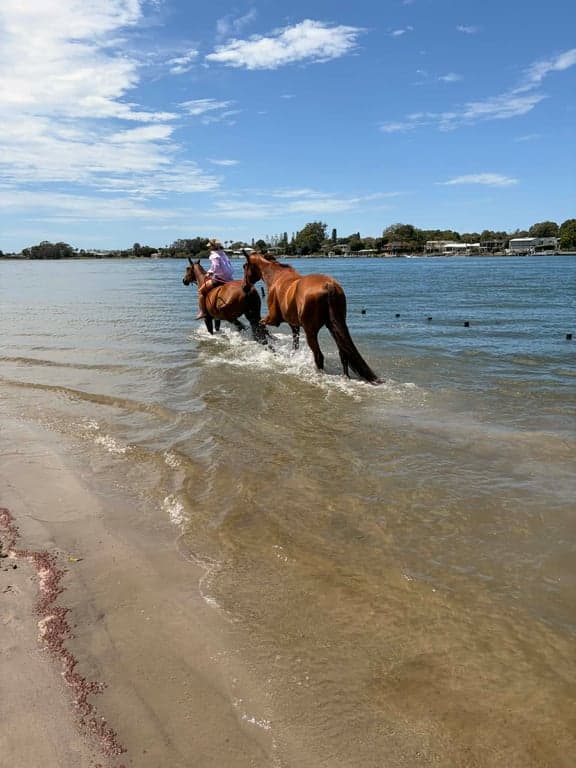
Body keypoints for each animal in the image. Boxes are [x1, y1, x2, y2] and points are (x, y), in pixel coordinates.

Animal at [242, 253, 381, 384]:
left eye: (245, 266)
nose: (244, 287)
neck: (277, 277)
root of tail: (329, 285)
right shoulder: (294, 325)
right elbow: (295, 344)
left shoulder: (273, 319)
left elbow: (261, 325)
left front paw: (266, 343)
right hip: (334, 327)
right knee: (343, 354)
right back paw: (345, 377)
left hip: (311, 332)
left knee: (319, 356)